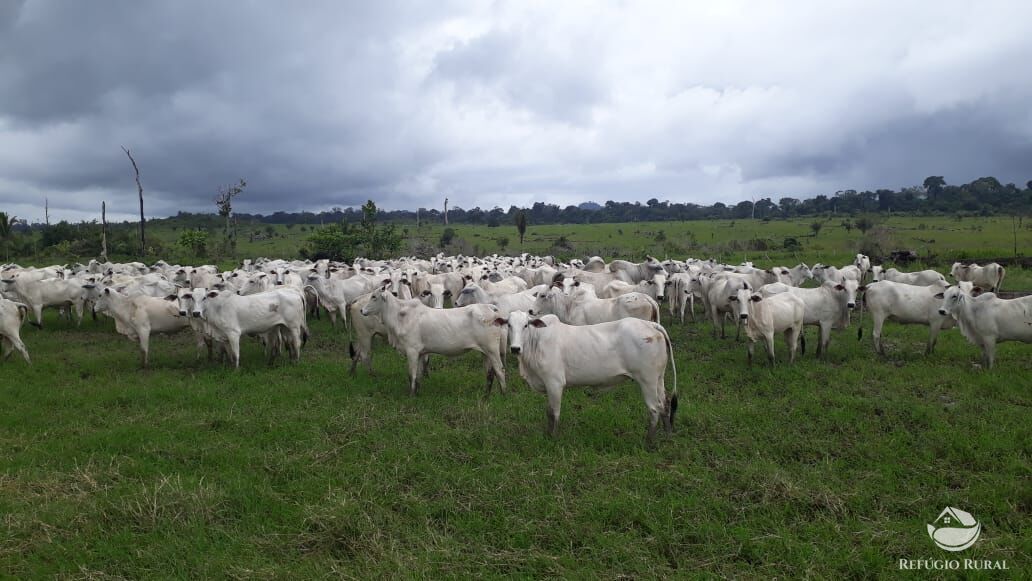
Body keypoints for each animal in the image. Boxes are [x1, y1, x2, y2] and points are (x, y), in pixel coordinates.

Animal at [499, 313, 676, 445]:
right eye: (508, 325)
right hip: (659, 379)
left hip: (647, 380)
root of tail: (650, 324)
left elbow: (553, 412)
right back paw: (668, 435)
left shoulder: (554, 383)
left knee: (654, 409)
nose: (515, 348)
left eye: (525, 325)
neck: (536, 342)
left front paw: (553, 438)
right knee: (665, 404)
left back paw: (648, 442)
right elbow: (549, 412)